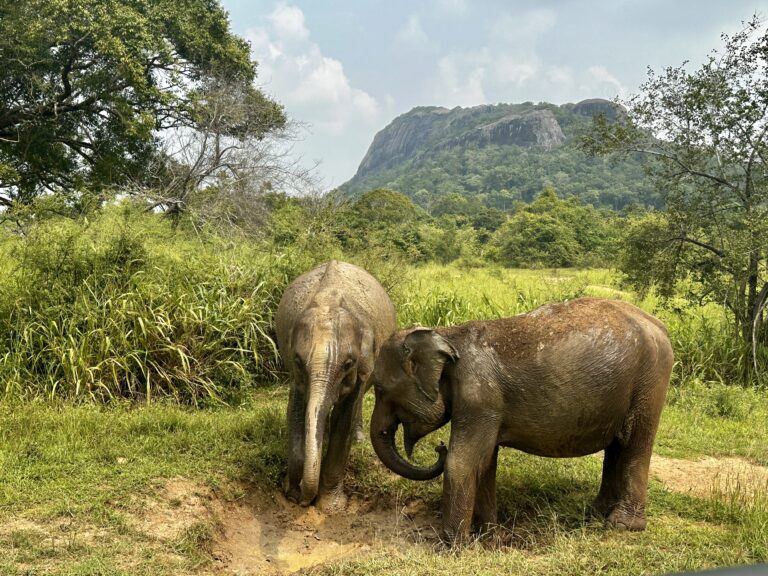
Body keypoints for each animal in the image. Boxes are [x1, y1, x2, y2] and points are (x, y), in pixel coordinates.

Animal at [276, 260, 396, 512]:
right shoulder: (296, 374)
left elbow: (344, 418)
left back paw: (358, 438)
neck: (328, 300)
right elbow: (296, 410)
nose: (304, 501)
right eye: (298, 360)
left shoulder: (362, 365)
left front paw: (330, 507)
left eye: (348, 363)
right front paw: (292, 493)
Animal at [369, 297, 673, 542]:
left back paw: (622, 525)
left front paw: (452, 546)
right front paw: (489, 537)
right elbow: (485, 463)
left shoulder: (479, 399)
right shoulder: (485, 408)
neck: (446, 334)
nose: (438, 447)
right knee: (617, 447)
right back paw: (597, 512)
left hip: (650, 381)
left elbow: (461, 462)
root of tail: (660, 326)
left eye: (380, 389)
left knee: (635, 444)